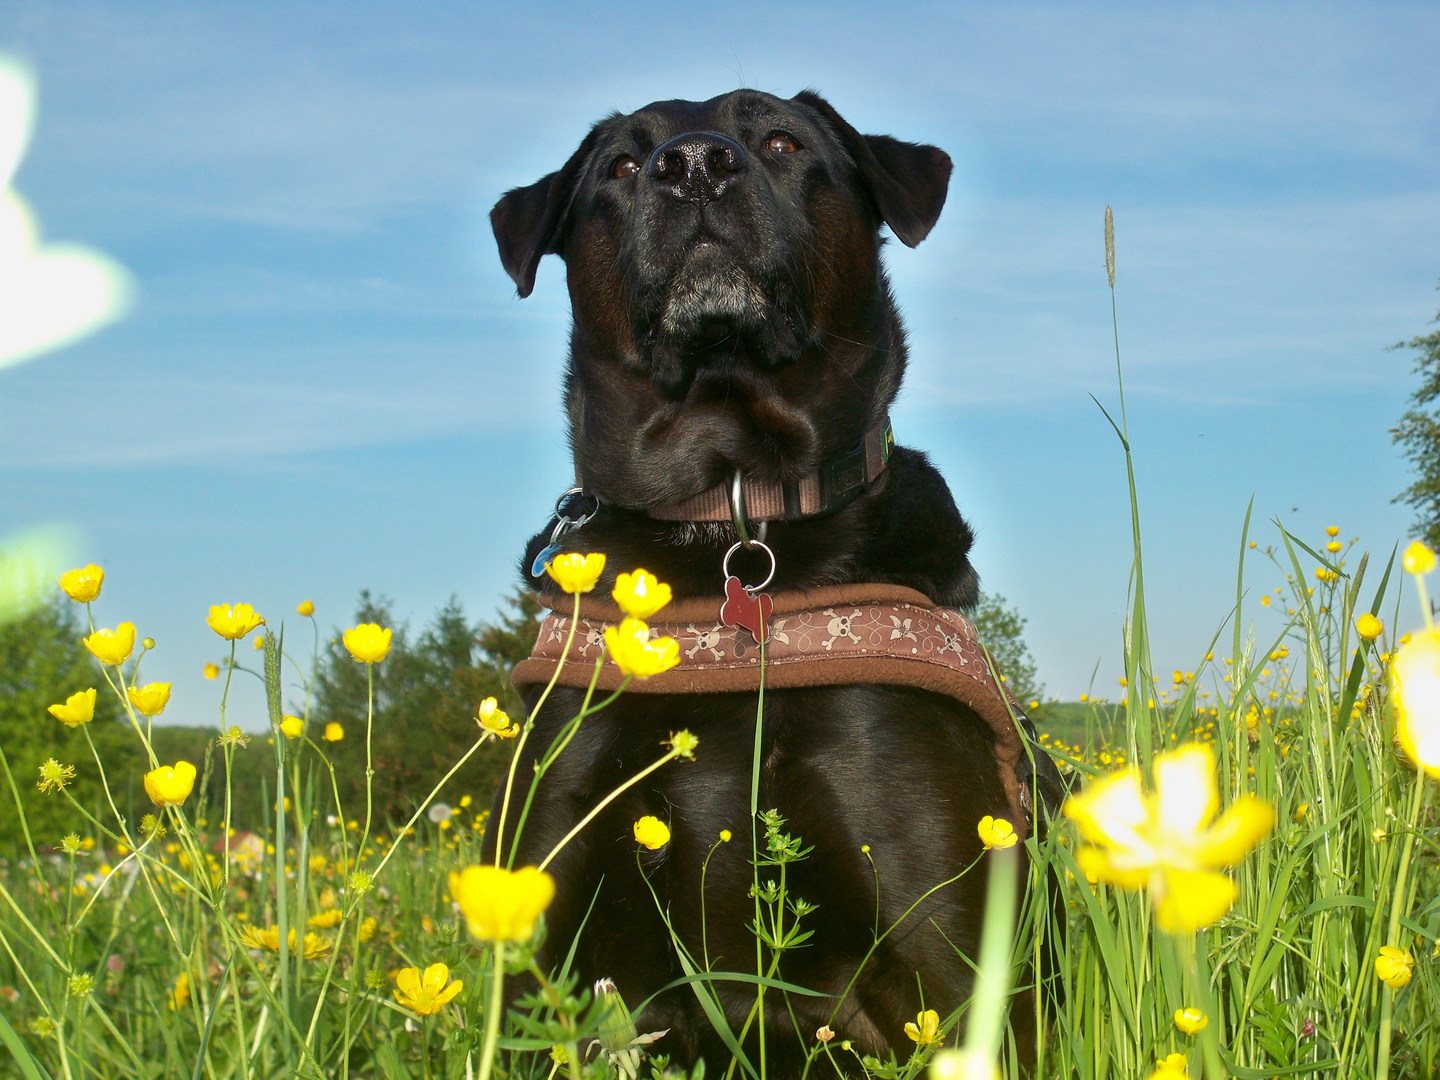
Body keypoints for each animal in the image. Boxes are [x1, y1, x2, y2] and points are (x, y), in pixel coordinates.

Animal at [483, 91, 1059, 1077]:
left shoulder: (954, 960)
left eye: (782, 141)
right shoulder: (546, 928)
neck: (730, 508)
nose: (694, 165)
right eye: (622, 166)